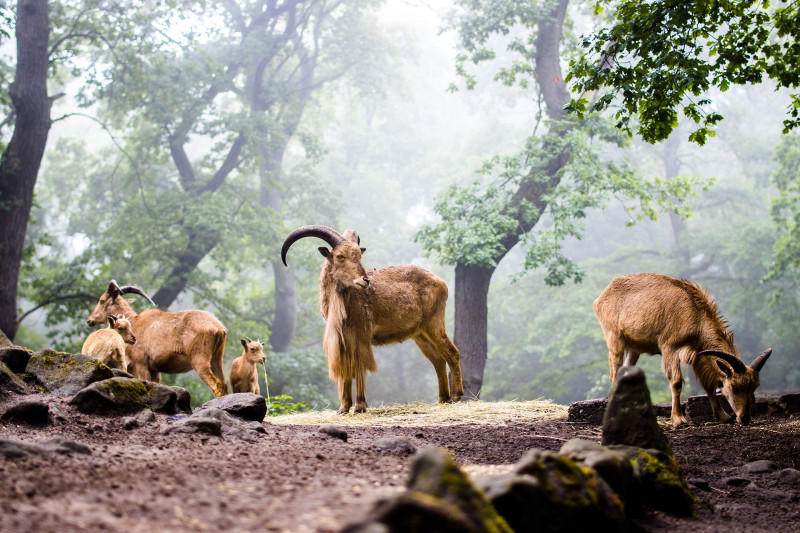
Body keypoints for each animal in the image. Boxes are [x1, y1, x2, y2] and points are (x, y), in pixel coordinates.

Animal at [86, 280, 230, 396]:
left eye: (101, 300)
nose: (89, 320)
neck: (134, 322)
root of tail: (218, 328)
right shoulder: (155, 369)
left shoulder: (141, 364)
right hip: (217, 358)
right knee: (223, 384)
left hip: (199, 359)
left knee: (216, 384)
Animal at [282, 222, 462, 414]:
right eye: (340, 256)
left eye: (359, 255)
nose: (365, 280)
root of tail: (441, 282)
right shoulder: (344, 339)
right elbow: (347, 369)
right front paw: (343, 408)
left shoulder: (361, 334)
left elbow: (359, 366)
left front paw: (360, 406)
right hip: (420, 334)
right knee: (438, 359)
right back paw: (443, 399)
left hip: (433, 323)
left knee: (452, 352)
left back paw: (457, 396)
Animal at [592, 272, 768, 426]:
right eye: (734, 387)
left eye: (754, 386)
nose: (744, 418)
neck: (695, 315)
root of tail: (601, 297)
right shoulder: (670, 347)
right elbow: (676, 382)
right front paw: (678, 420)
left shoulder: (698, 354)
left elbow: (708, 384)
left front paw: (723, 416)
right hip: (614, 337)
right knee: (614, 371)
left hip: (634, 348)